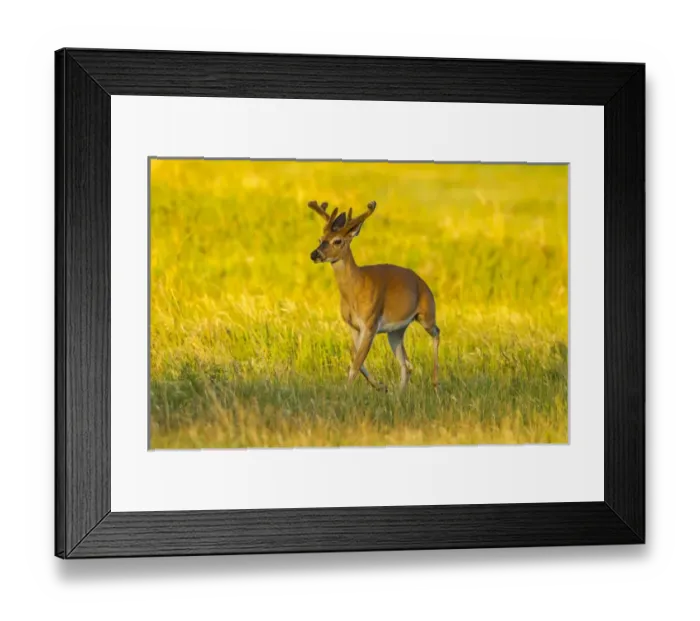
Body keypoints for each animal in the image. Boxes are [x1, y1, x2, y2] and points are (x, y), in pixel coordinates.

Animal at [308, 200, 440, 392]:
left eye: (337, 241)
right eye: (320, 239)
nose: (314, 254)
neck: (355, 289)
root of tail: (422, 282)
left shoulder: (370, 323)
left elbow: (356, 362)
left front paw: (346, 390)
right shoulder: (353, 326)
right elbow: (355, 358)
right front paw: (381, 386)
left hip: (426, 314)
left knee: (436, 332)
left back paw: (436, 382)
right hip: (396, 331)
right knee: (406, 364)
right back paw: (399, 393)